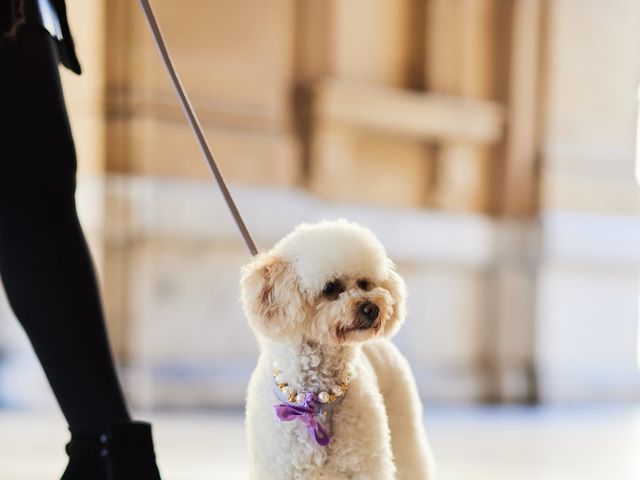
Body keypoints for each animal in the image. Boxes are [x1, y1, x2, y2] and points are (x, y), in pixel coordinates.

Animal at [240, 219, 436, 478]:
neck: (315, 401)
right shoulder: (280, 467)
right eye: (331, 287)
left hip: (403, 423)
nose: (372, 308)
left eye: (365, 283)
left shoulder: (364, 464)